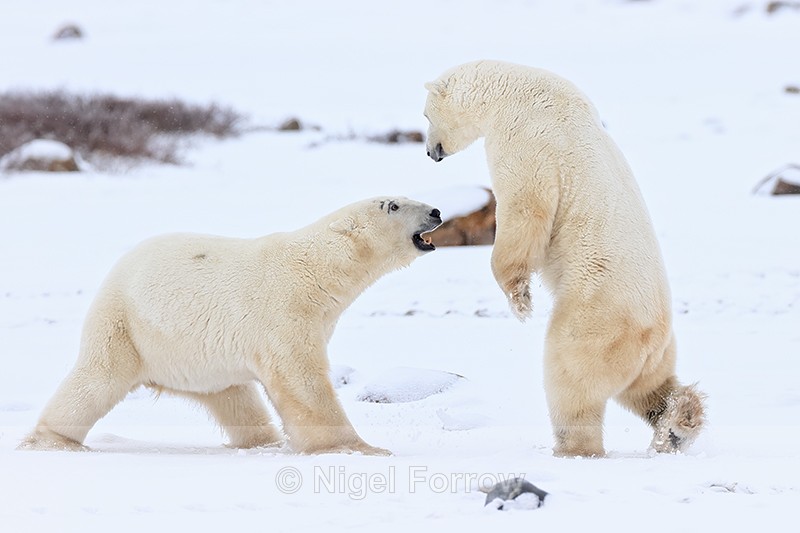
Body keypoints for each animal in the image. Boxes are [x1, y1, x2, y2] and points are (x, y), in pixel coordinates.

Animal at [19, 196, 442, 455]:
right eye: (393, 204)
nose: (437, 212)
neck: (315, 268)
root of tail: (119, 266)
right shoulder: (286, 310)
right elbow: (302, 380)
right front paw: (360, 448)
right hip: (126, 325)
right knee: (96, 380)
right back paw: (52, 440)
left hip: (195, 354)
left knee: (234, 398)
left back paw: (263, 442)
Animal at [423, 60, 705, 457]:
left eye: (426, 114)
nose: (430, 152)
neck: (514, 92)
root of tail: (651, 333)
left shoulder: (526, 138)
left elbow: (525, 209)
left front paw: (520, 301)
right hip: (654, 349)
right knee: (647, 385)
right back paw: (679, 422)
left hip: (598, 315)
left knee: (571, 373)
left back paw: (573, 448)